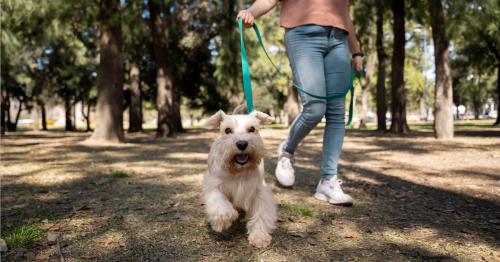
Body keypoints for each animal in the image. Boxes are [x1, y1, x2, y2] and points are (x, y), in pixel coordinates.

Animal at [204, 105, 282, 248]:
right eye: (227, 130)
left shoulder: (258, 191)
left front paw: (259, 236)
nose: (242, 144)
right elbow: (221, 208)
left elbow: (261, 214)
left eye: (252, 128)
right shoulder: (214, 186)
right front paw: (222, 223)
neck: (238, 171)